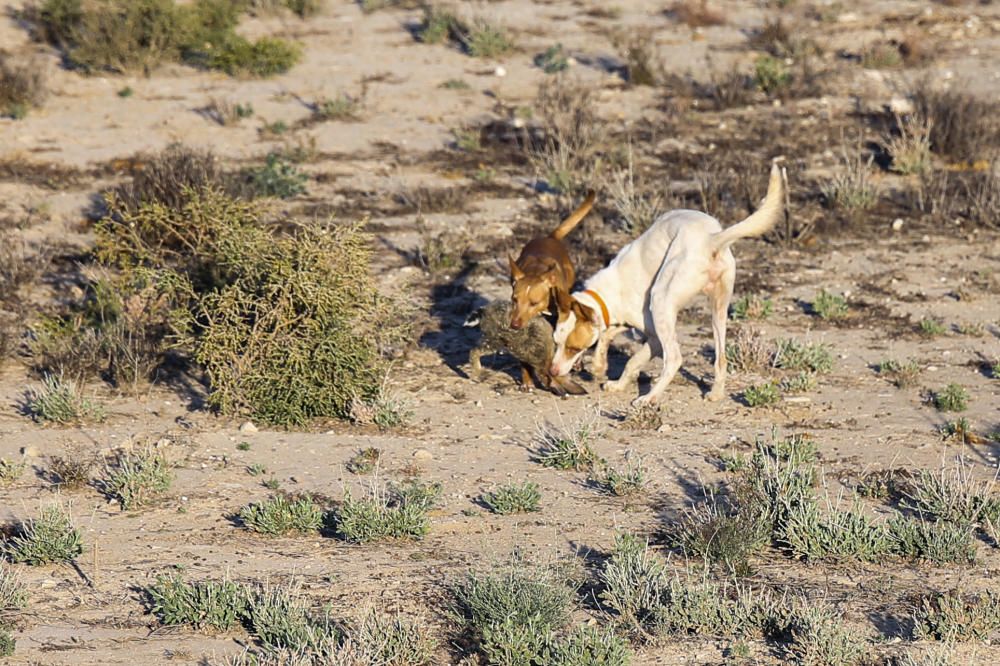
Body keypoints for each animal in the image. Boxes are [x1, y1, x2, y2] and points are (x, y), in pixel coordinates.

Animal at [552, 161, 784, 404]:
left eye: (572, 348)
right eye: (556, 342)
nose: (552, 371)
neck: (610, 289)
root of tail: (710, 240)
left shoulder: (653, 335)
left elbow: (632, 360)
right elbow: (607, 337)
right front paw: (602, 369)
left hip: (661, 300)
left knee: (674, 359)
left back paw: (649, 398)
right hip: (719, 309)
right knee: (721, 358)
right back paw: (716, 393)